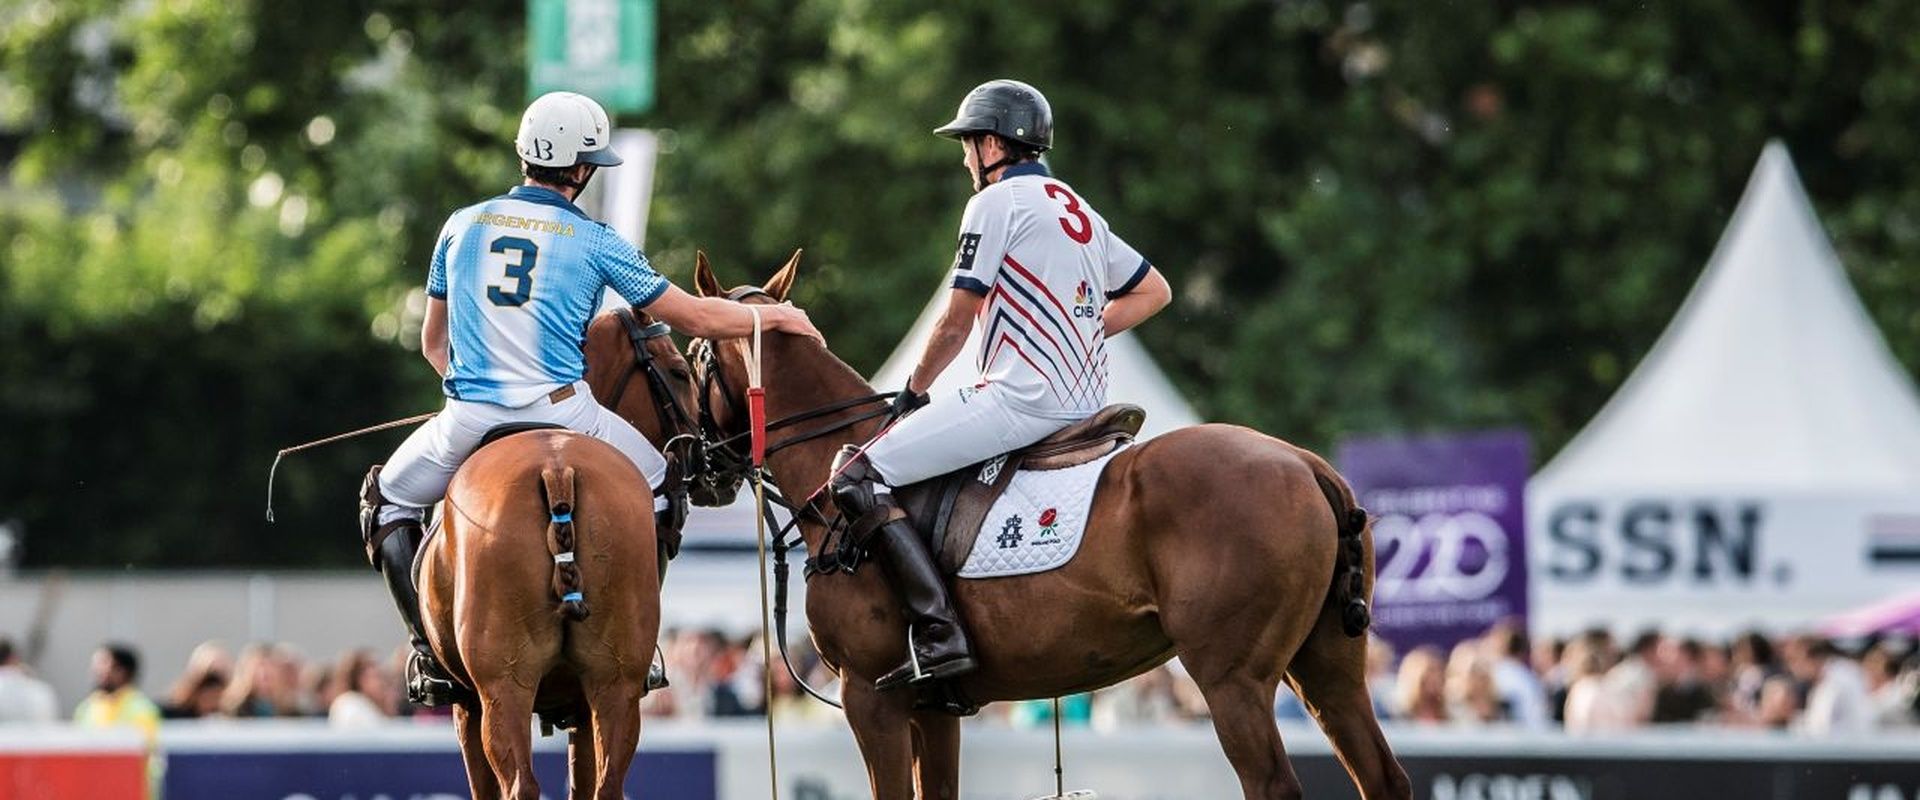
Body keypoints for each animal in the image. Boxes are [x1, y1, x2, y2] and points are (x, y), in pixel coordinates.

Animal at [416, 308, 700, 799]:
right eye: (680, 371)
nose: (710, 463)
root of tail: (556, 468)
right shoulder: (579, 700)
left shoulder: (467, 702)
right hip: (614, 681)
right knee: (607, 786)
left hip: (504, 684)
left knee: (520, 784)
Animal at [685, 254, 1410, 800]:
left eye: (691, 355)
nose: (695, 466)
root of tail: (1310, 465)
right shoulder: (931, 706)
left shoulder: (871, 695)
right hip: (1327, 666)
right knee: (1383, 776)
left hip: (1232, 677)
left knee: (1273, 784)